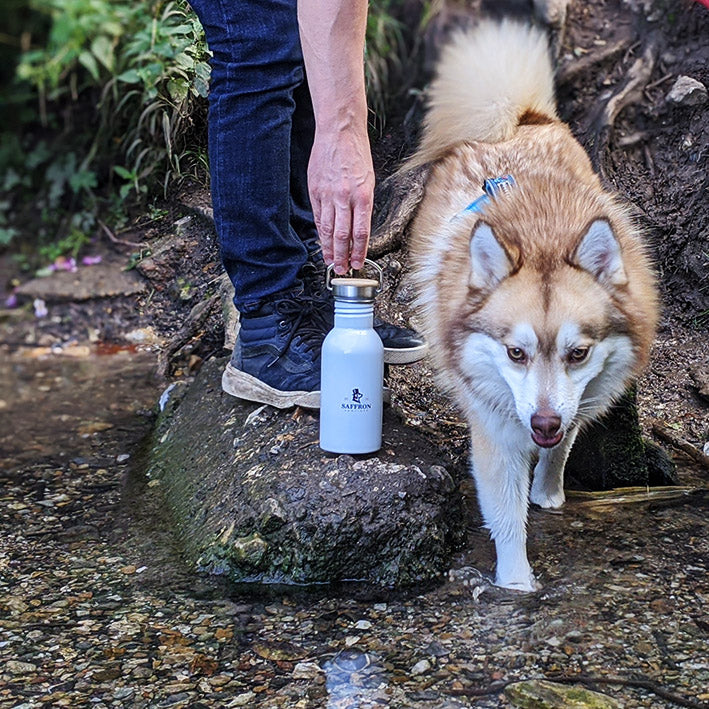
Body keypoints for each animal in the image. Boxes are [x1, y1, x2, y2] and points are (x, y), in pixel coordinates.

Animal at [410, 19, 660, 588]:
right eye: (515, 354)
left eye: (578, 353)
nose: (542, 423)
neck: (542, 234)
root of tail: (518, 120)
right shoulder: (495, 428)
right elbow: (506, 514)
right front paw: (517, 583)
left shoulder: (580, 397)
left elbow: (563, 447)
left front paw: (548, 491)